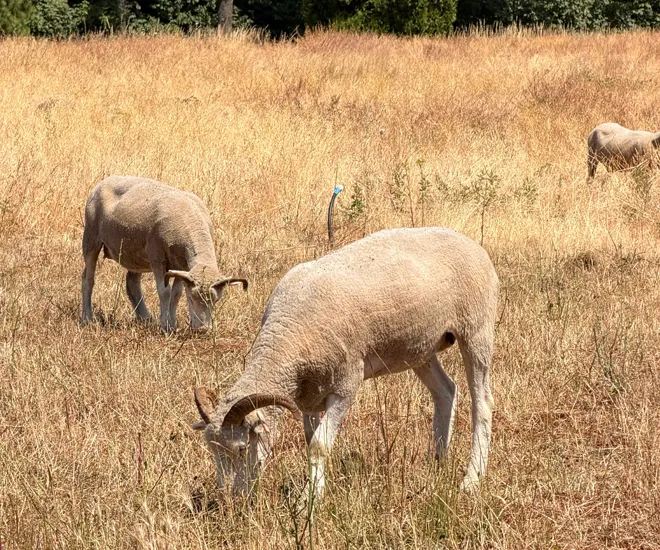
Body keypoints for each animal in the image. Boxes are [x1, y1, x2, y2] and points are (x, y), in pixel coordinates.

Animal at [81, 175, 247, 332]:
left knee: (132, 282)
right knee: (88, 278)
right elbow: (164, 291)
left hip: (134, 252)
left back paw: (145, 317)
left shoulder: (182, 266)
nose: (202, 329)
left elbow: (176, 293)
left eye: (216, 300)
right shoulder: (157, 257)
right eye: (191, 298)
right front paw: (165, 325)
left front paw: (172, 324)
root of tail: (108, 179)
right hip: (91, 237)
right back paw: (87, 318)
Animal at [193, 227, 499, 498]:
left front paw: (310, 500)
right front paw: (312, 486)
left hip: (477, 329)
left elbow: (318, 445)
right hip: (421, 347)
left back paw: (472, 478)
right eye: (211, 449)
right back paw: (438, 460)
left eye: (241, 448)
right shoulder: (309, 395)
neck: (286, 337)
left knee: (482, 402)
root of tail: (472, 243)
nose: (228, 499)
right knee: (446, 391)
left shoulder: (345, 386)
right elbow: (310, 439)